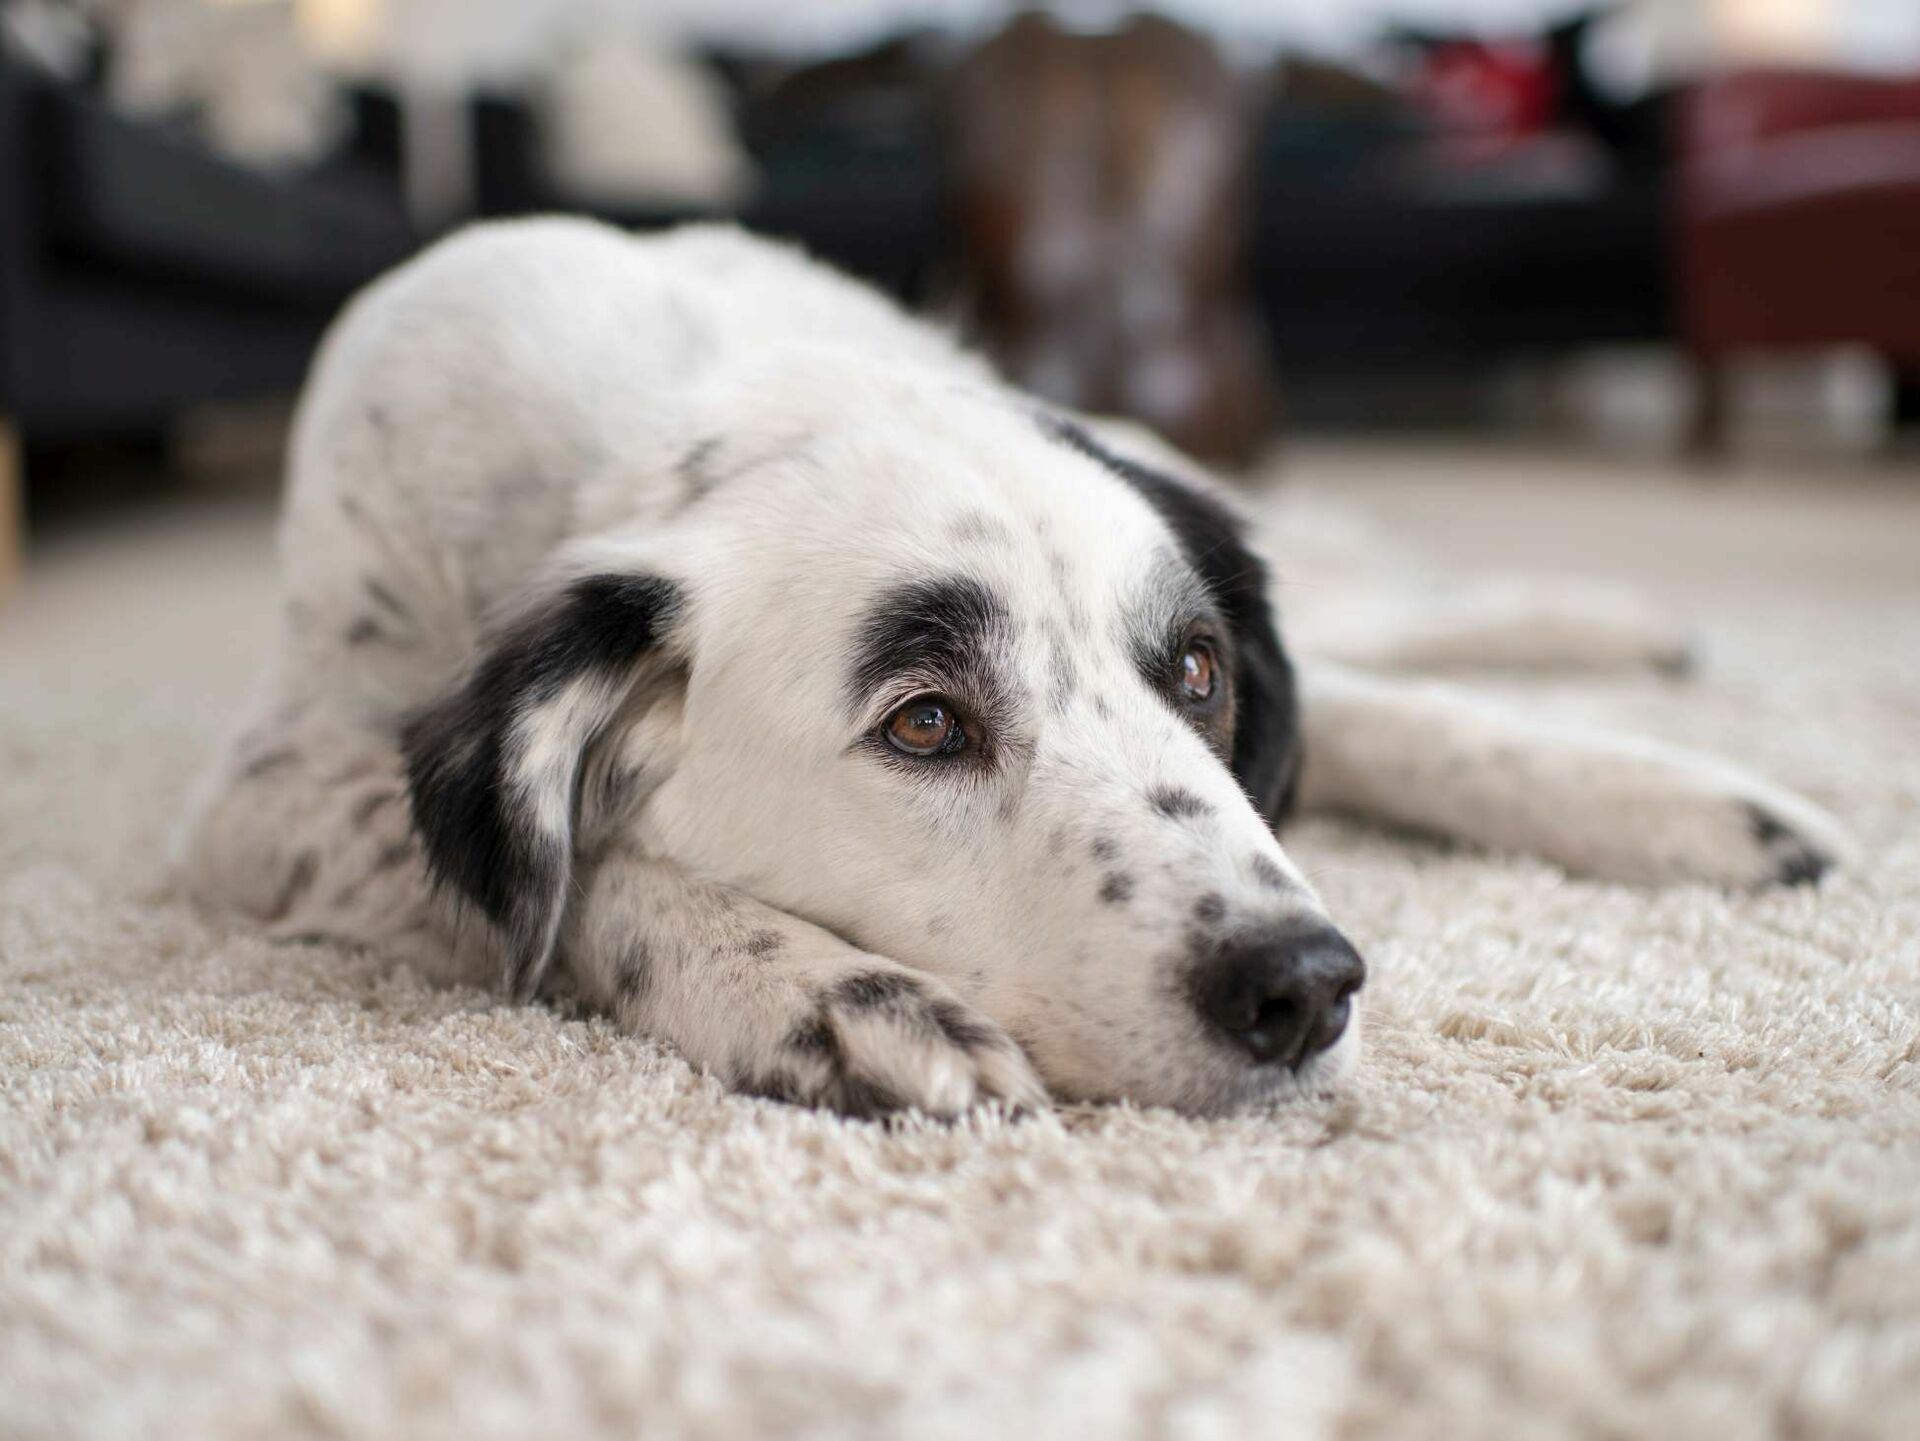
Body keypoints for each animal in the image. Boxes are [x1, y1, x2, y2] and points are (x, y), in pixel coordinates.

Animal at [172, 225, 1850, 1120]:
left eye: (1196, 672)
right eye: (927, 723)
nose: (1306, 987)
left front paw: (1658, 792)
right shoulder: (264, 798)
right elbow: (579, 878)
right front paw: (823, 993)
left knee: (1374, 629)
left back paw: (1649, 687)